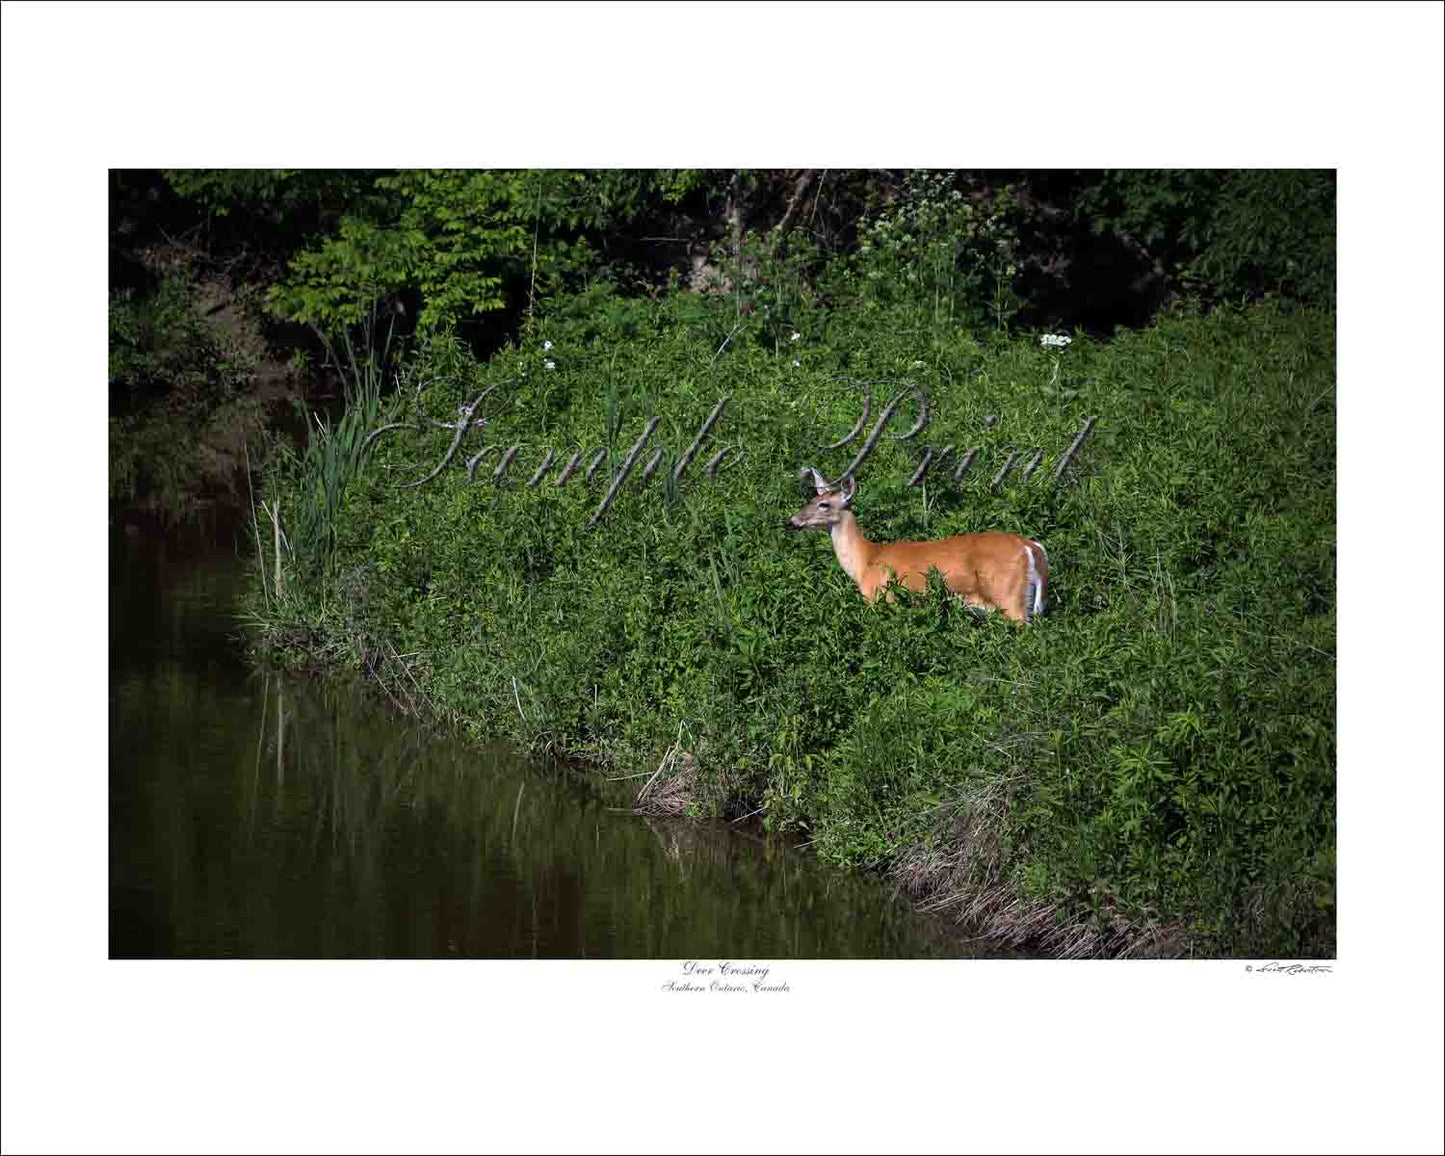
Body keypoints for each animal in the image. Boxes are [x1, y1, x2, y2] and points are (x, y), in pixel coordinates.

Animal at [784, 468, 1049, 625]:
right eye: (812, 499)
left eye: (824, 505)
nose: (791, 522)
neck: (865, 561)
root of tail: (1029, 546)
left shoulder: (879, 597)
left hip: (1008, 593)